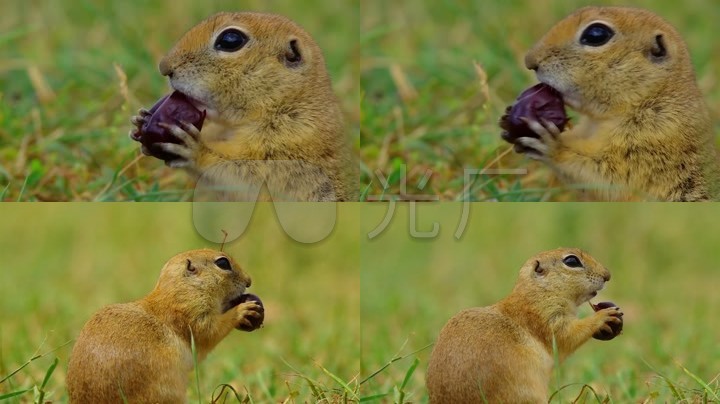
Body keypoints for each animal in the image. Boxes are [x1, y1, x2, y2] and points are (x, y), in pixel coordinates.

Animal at [66, 248, 262, 402]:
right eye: (223, 263)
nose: (249, 281)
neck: (179, 293)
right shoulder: (193, 316)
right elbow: (210, 332)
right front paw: (243, 310)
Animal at [130, 11, 358, 201]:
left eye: (230, 40)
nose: (164, 67)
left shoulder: (290, 144)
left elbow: (244, 176)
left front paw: (194, 149)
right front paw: (141, 120)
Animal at [424, 248, 620, 402]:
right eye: (571, 261)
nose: (608, 275)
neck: (537, 293)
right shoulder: (546, 318)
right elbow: (566, 336)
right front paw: (603, 316)